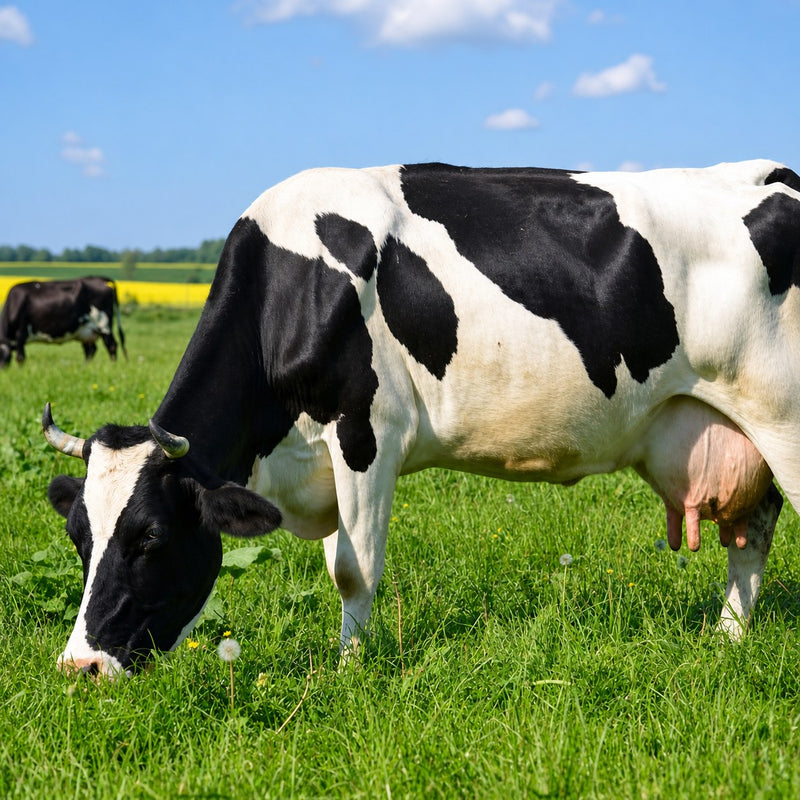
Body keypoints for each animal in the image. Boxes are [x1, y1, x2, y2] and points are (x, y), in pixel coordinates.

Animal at [41, 159, 800, 677]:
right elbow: (337, 562)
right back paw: (727, 639)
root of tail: (773, 173)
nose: (81, 667)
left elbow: (354, 569)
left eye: (150, 538)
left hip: (785, 420)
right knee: (751, 534)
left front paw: (348, 673)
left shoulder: (366, 432)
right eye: (79, 537)